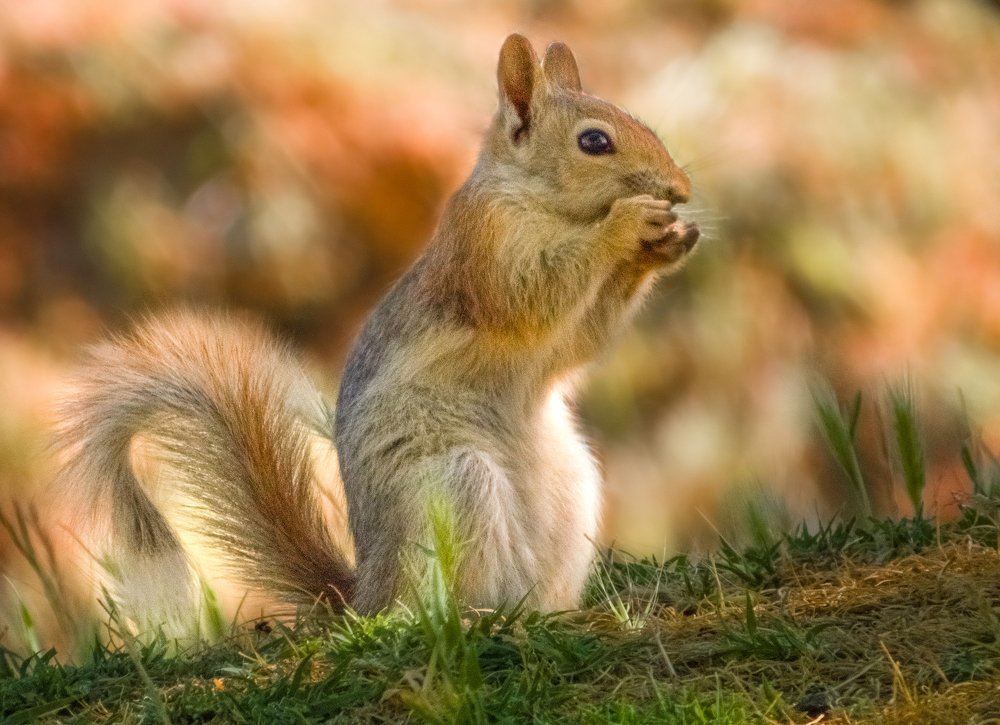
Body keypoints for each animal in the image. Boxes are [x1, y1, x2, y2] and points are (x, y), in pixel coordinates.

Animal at [57, 34, 699, 618]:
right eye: (594, 141)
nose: (681, 189)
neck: (544, 205)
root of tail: (366, 597)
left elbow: (580, 337)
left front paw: (669, 243)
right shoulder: (483, 254)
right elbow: (537, 296)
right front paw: (629, 224)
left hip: (572, 488)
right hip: (455, 485)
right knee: (435, 603)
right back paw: (473, 615)